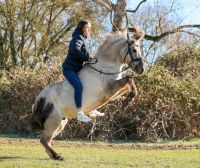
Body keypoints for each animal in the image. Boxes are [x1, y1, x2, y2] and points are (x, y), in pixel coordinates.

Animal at [30, 25, 145, 160]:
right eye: (134, 50)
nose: (141, 69)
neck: (105, 66)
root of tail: (38, 101)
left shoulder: (113, 93)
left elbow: (128, 82)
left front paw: (128, 99)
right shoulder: (109, 90)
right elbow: (129, 79)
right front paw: (129, 99)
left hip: (61, 121)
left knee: (46, 140)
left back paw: (55, 156)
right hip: (54, 120)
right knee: (44, 139)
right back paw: (58, 156)